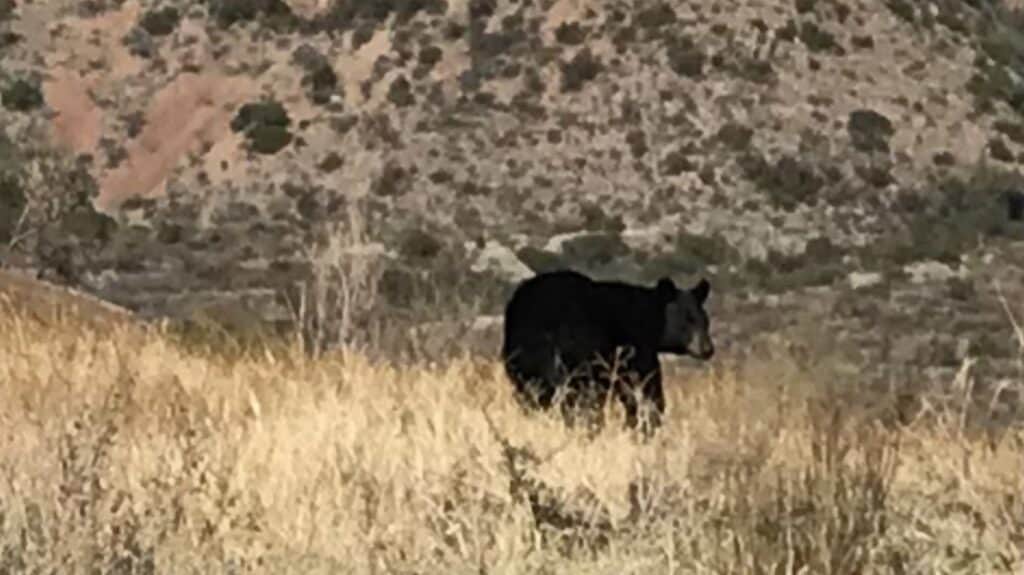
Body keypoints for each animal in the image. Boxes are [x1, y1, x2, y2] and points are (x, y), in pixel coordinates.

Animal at [500, 268, 715, 435]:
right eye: (687, 320)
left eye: (705, 320)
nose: (708, 349)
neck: (646, 319)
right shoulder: (633, 348)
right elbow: (643, 386)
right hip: (580, 357)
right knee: (585, 399)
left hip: (523, 359)